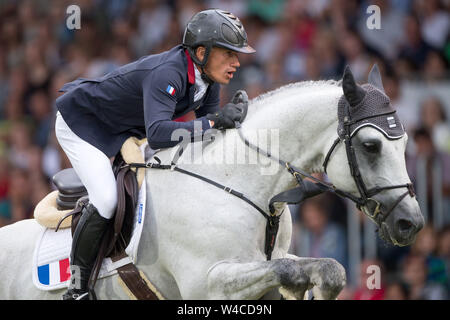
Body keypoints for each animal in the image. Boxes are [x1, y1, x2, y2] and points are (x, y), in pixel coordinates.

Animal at [0, 66, 422, 298]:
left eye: (405, 145)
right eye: (370, 146)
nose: (411, 224)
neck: (243, 184)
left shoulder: (276, 258)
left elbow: (323, 268)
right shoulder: (207, 281)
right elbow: (289, 271)